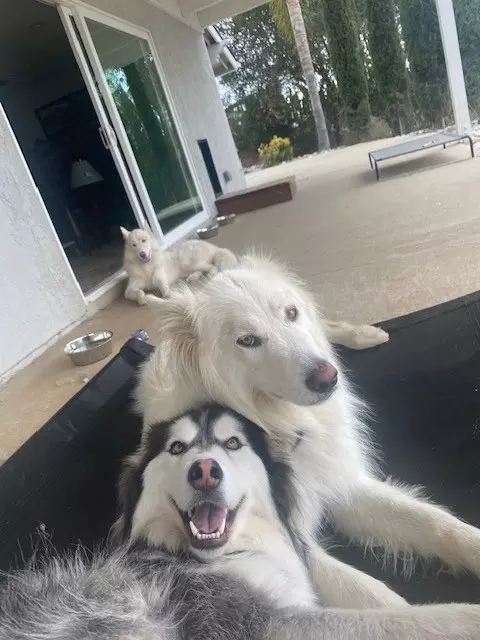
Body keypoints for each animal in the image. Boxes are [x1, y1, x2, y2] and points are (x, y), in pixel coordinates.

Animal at [137, 254, 480, 608]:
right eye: (247, 340)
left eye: (290, 313)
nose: (328, 377)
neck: (281, 423)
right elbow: (379, 599)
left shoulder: (343, 485)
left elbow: (437, 522)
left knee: (326, 323)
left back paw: (364, 334)